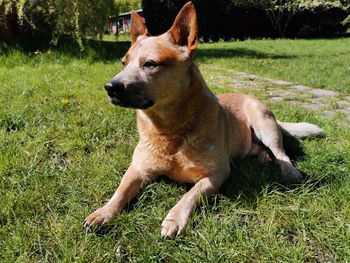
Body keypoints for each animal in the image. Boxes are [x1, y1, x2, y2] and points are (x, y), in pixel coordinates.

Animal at [82, 2, 322, 238]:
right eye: (124, 62)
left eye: (150, 64)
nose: (110, 87)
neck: (170, 131)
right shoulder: (138, 168)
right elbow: (120, 190)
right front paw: (103, 212)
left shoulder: (217, 173)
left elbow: (190, 193)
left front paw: (174, 218)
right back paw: (262, 157)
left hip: (263, 123)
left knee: (281, 153)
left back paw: (289, 170)